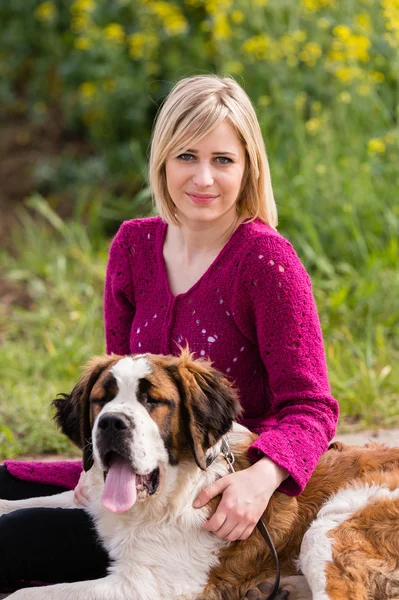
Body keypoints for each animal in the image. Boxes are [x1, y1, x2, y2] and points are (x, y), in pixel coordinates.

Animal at [2, 352, 399, 600]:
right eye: (102, 399)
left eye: (152, 401)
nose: (111, 423)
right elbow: (45, 498)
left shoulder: (145, 586)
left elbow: (26, 592)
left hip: (329, 529)